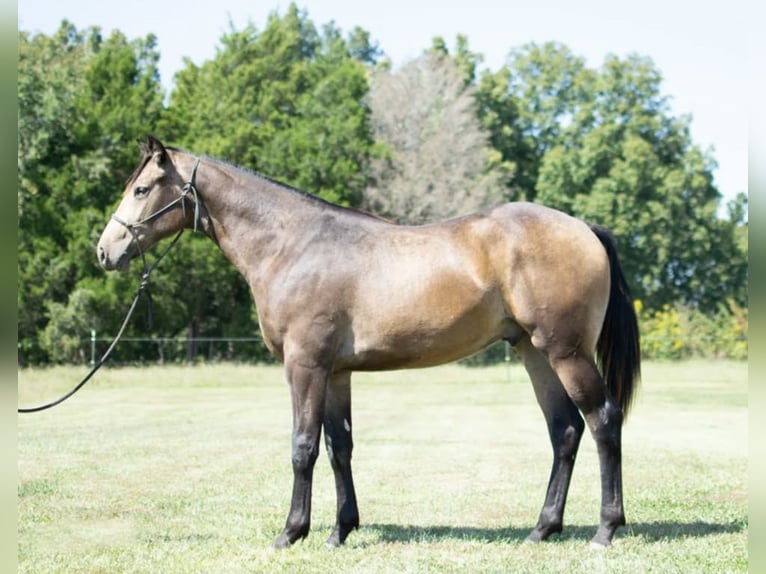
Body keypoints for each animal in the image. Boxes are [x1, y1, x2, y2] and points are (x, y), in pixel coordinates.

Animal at [99, 134, 644, 548]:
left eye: (142, 189)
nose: (105, 251)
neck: (292, 245)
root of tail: (584, 228)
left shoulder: (305, 366)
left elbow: (302, 447)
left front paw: (291, 533)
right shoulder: (336, 372)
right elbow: (339, 447)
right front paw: (340, 530)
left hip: (566, 352)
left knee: (603, 420)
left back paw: (605, 529)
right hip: (534, 353)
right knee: (565, 430)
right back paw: (542, 529)